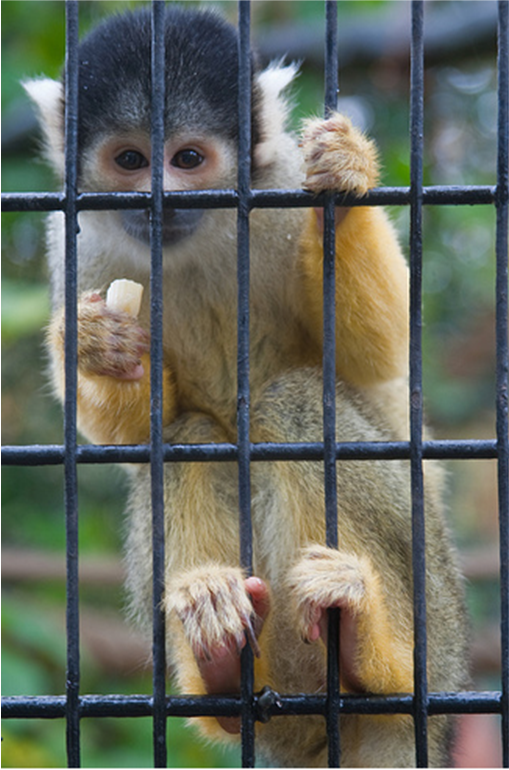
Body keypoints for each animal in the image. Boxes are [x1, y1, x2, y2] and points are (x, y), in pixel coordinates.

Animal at [24, 5, 469, 767]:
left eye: (188, 160)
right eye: (131, 161)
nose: (164, 201)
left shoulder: (279, 178)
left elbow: (375, 357)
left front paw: (344, 180)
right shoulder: (75, 236)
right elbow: (133, 430)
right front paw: (94, 344)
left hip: (436, 610)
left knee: (295, 402)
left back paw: (370, 645)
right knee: (188, 439)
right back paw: (222, 659)